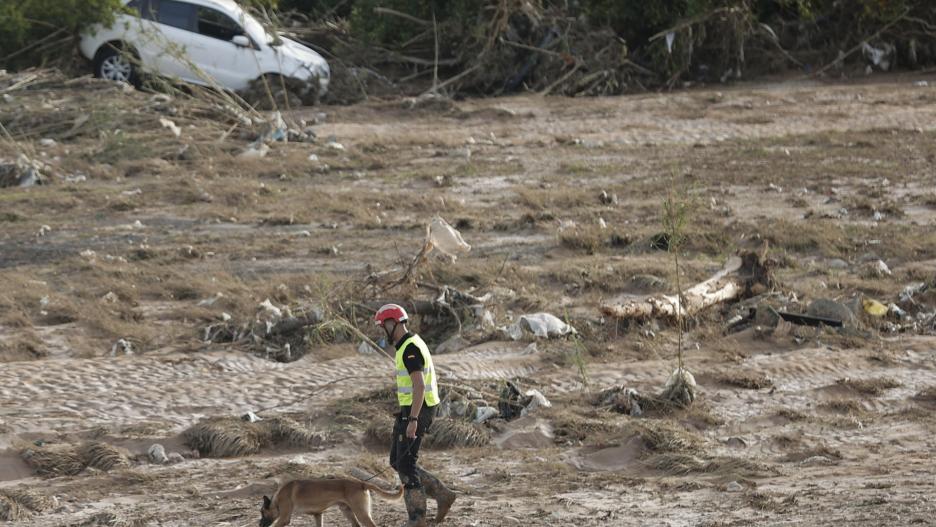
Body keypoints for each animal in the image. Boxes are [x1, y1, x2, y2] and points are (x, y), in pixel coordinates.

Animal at [260, 478, 402, 527]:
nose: (259, 524)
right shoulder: (318, 515)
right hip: (348, 512)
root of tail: (361, 483)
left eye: (262, 512)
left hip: (361, 513)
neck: (277, 498)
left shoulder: (284, 519)